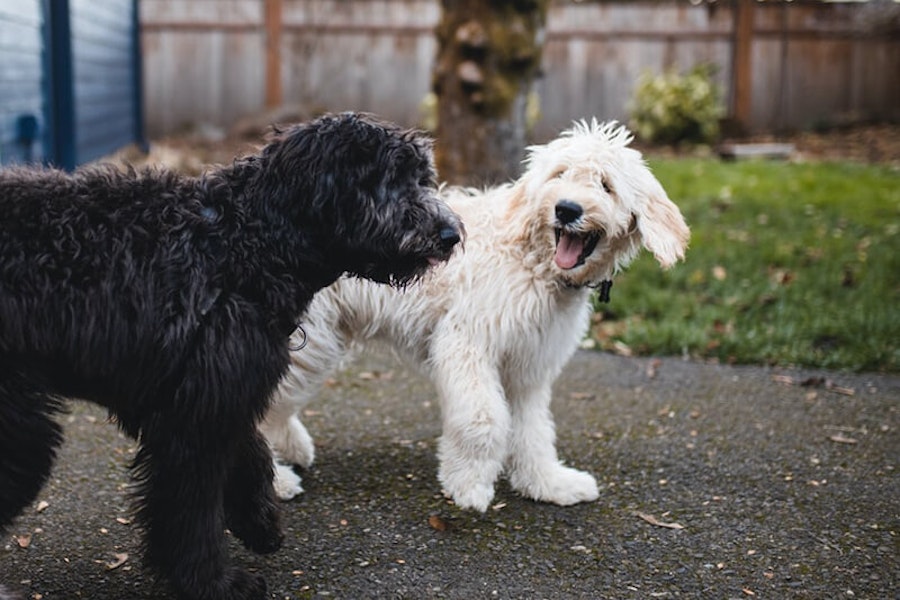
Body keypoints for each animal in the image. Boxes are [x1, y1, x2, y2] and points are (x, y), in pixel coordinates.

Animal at [0, 112, 460, 600]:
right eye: (389, 178)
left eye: (421, 177)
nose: (450, 234)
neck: (240, 245)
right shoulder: (195, 416)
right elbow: (192, 508)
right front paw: (212, 581)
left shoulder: (216, 391)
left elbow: (251, 451)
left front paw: (260, 523)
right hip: (23, 433)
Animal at [260, 120, 688, 510]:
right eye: (560, 174)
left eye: (605, 184)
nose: (567, 209)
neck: (531, 260)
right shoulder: (466, 342)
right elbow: (483, 420)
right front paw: (468, 485)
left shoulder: (528, 365)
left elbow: (533, 429)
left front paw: (547, 482)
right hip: (309, 341)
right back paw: (277, 480)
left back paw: (292, 449)